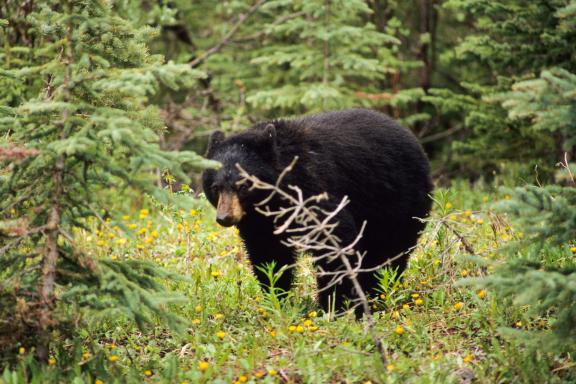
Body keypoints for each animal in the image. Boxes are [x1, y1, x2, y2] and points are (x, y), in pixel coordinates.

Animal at [202, 108, 432, 312]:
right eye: (215, 188)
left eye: (243, 186)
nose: (225, 217)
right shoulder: (260, 222)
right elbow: (268, 253)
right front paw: (277, 298)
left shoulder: (315, 189)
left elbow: (334, 240)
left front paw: (334, 305)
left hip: (398, 202)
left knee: (390, 251)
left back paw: (377, 293)